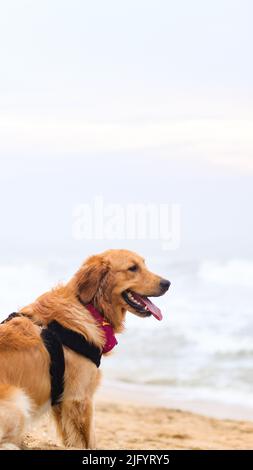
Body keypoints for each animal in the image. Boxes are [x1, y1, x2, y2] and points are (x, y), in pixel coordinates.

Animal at [0, 248, 171, 450]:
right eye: (132, 268)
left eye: (144, 264)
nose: (167, 283)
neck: (89, 307)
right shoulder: (80, 398)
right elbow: (89, 440)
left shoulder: (63, 402)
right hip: (18, 401)